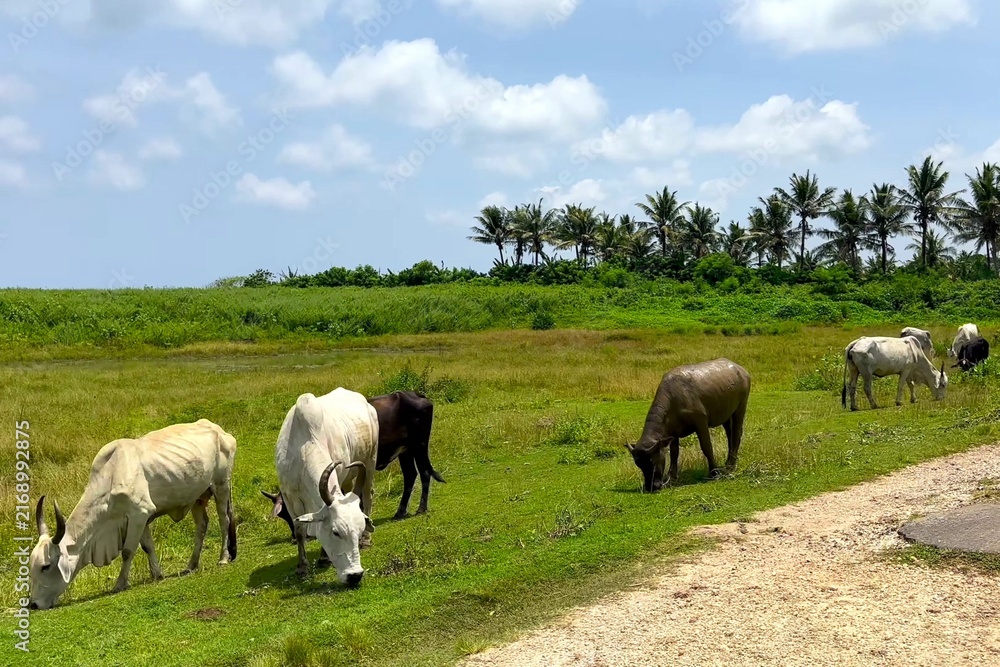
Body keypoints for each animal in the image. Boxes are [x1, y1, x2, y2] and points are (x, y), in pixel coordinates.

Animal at [28, 419, 238, 610]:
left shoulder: (139, 513)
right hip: (197, 497)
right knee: (202, 525)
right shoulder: (141, 518)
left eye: (46, 566)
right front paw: (157, 574)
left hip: (221, 485)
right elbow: (148, 547)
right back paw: (191, 565)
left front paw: (120, 583)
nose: (33, 604)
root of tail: (220, 430)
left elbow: (128, 551)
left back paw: (223, 558)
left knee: (224, 520)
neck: (111, 476)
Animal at [274, 387, 377, 585]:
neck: (305, 446)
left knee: (367, 498)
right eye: (336, 532)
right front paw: (302, 566)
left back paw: (367, 540)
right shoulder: (289, 497)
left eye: (360, 530)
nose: (355, 575)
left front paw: (324, 558)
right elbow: (299, 531)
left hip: (370, 463)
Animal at [626, 358, 751, 492]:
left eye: (652, 462)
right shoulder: (673, 433)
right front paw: (672, 477)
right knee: (730, 434)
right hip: (726, 414)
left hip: (740, 407)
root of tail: (742, 370)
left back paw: (731, 466)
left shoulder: (701, 422)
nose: (651, 487)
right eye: (639, 464)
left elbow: (706, 447)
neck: (674, 399)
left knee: (737, 434)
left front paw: (713, 472)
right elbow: (674, 453)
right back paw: (728, 462)